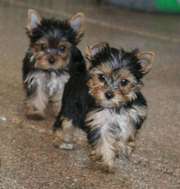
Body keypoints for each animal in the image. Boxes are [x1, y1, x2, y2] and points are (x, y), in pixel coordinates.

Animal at [52, 42, 155, 171]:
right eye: (101, 77)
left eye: (124, 82)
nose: (109, 94)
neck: (116, 107)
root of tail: (78, 74)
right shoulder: (99, 121)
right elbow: (103, 141)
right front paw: (106, 163)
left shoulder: (131, 117)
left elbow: (126, 134)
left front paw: (122, 148)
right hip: (70, 108)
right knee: (64, 122)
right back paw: (61, 139)